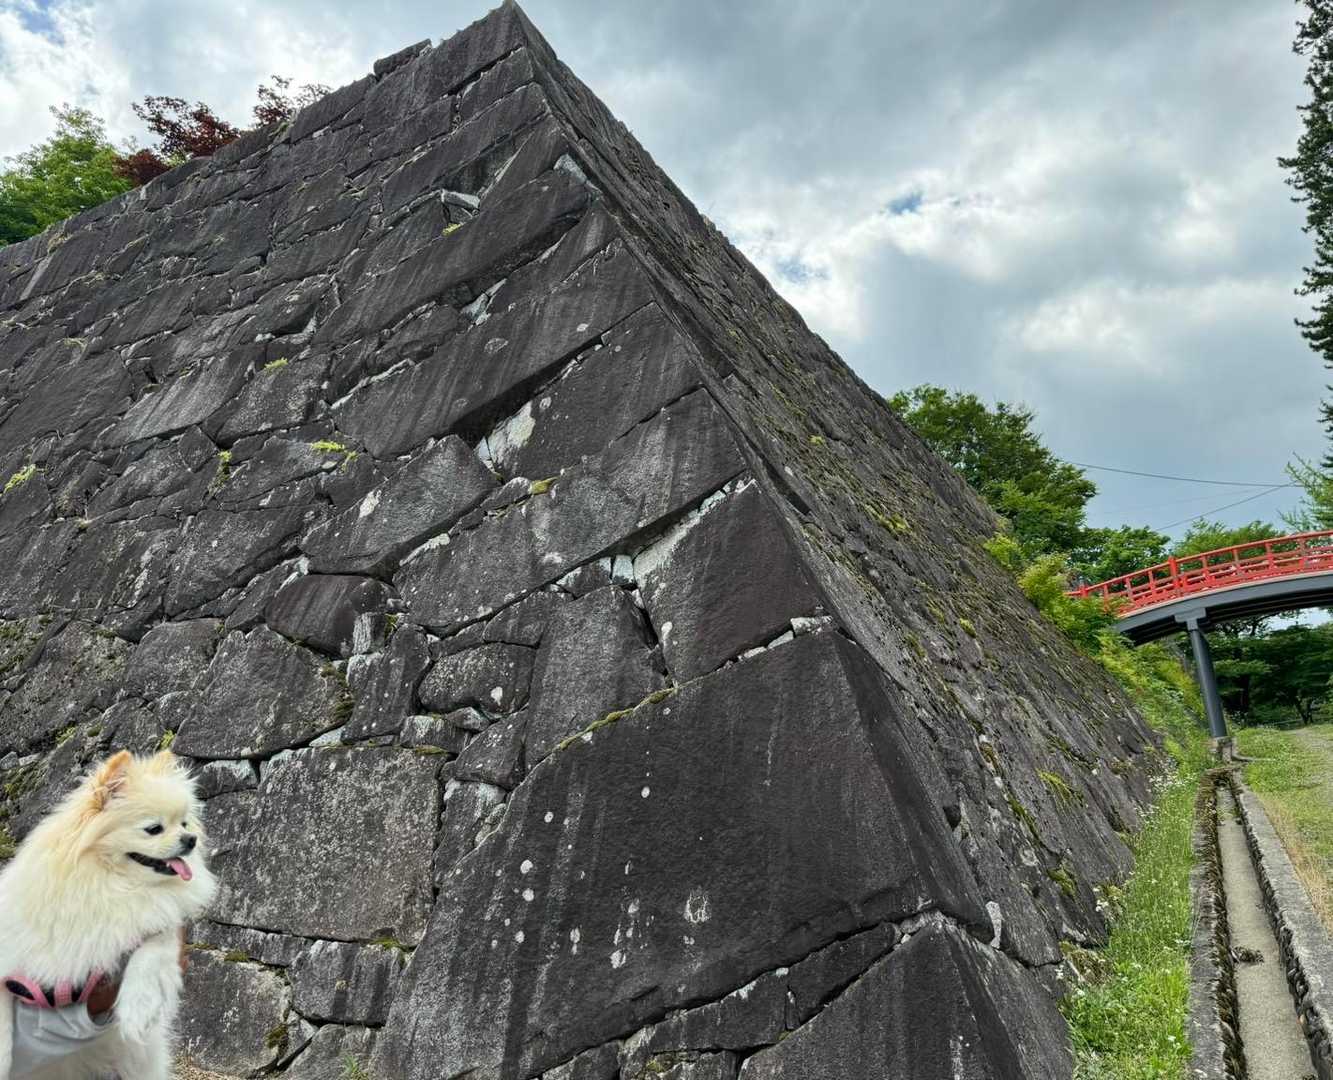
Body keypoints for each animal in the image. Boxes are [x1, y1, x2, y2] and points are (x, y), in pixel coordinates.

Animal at [0, 750, 217, 1080]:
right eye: (154, 828)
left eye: (184, 823)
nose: (190, 839)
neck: (110, 885)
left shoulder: (160, 925)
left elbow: (153, 948)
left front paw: (138, 1008)